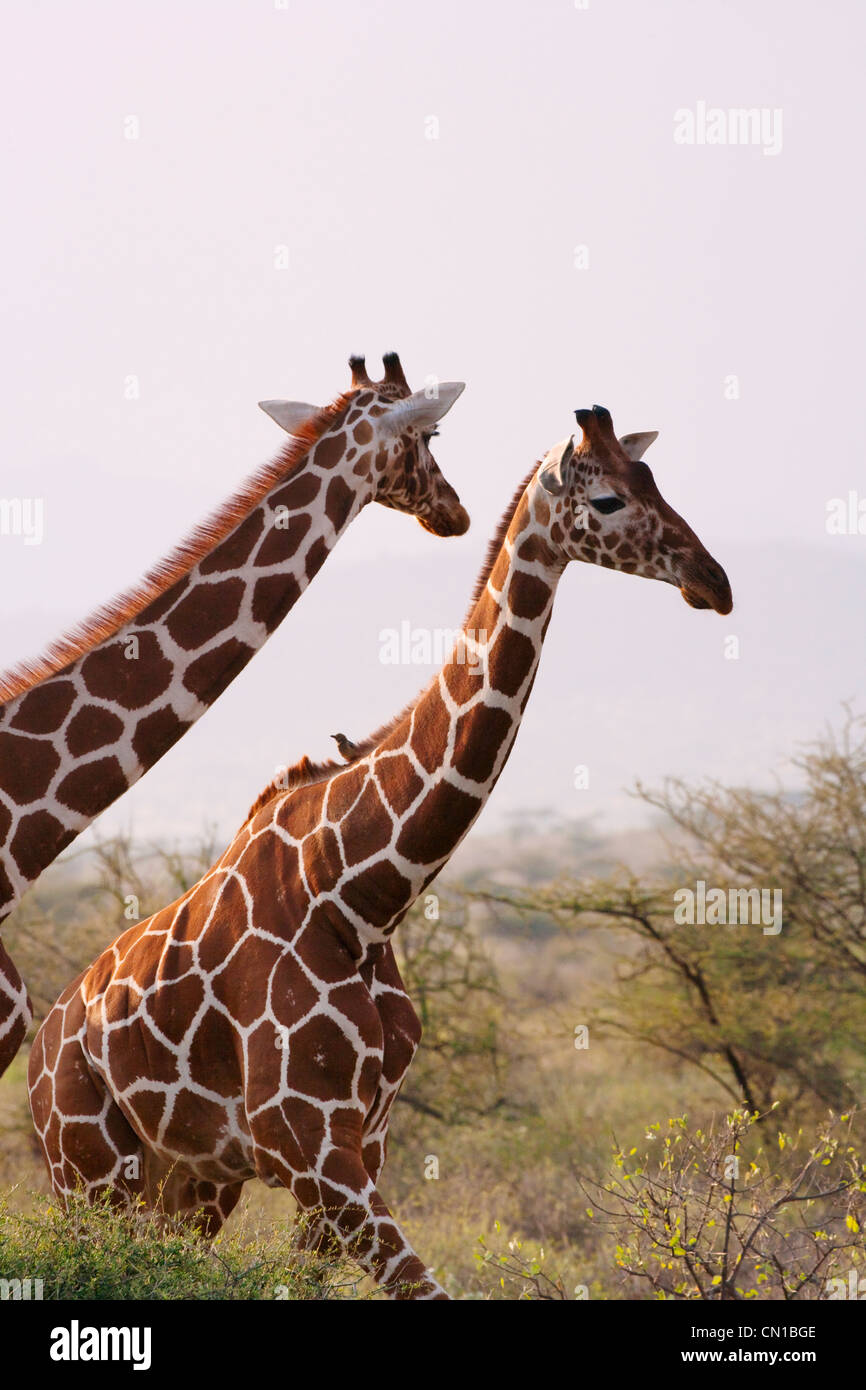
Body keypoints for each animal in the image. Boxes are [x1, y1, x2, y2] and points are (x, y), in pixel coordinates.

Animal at [27, 405, 733, 1301]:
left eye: (653, 480)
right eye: (607, 498)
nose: (714, 581)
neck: (361, 897)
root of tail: (46, 1038)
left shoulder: (362, 1143)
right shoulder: (311, 1148)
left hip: (190, 1182)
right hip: (88, 1170)